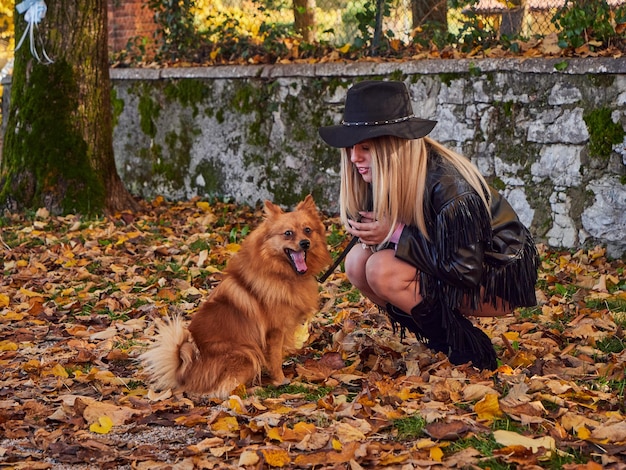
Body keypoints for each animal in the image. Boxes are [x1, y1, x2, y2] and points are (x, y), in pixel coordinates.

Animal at [139, 196, 330, 400]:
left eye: (308, 230)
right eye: (288, 233)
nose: (305, 243)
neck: (281, 274)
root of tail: (184, 372)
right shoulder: (274, 332)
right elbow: (275, 359)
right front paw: (280, 380)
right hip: (246, 353)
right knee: (223, 391)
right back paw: (255, 389)